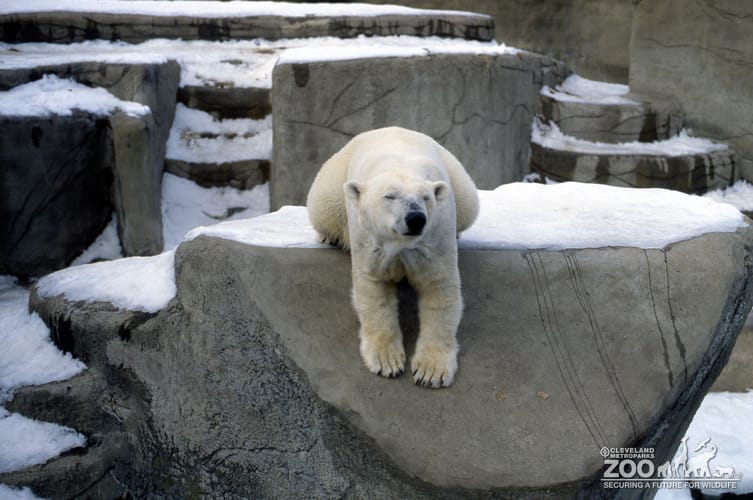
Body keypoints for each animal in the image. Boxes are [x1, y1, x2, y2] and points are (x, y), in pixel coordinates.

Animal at [306, 126, 479, 388]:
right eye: (389, 196)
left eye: (425, 197)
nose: (415, 218)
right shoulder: (370, 242)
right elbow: (374, 291)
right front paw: (388, 362)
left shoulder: (435, 238)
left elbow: (439, 290)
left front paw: (430, 372)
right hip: (334, 181)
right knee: (323, 207)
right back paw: (330, 237)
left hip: (457, 179)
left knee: (469, 202)